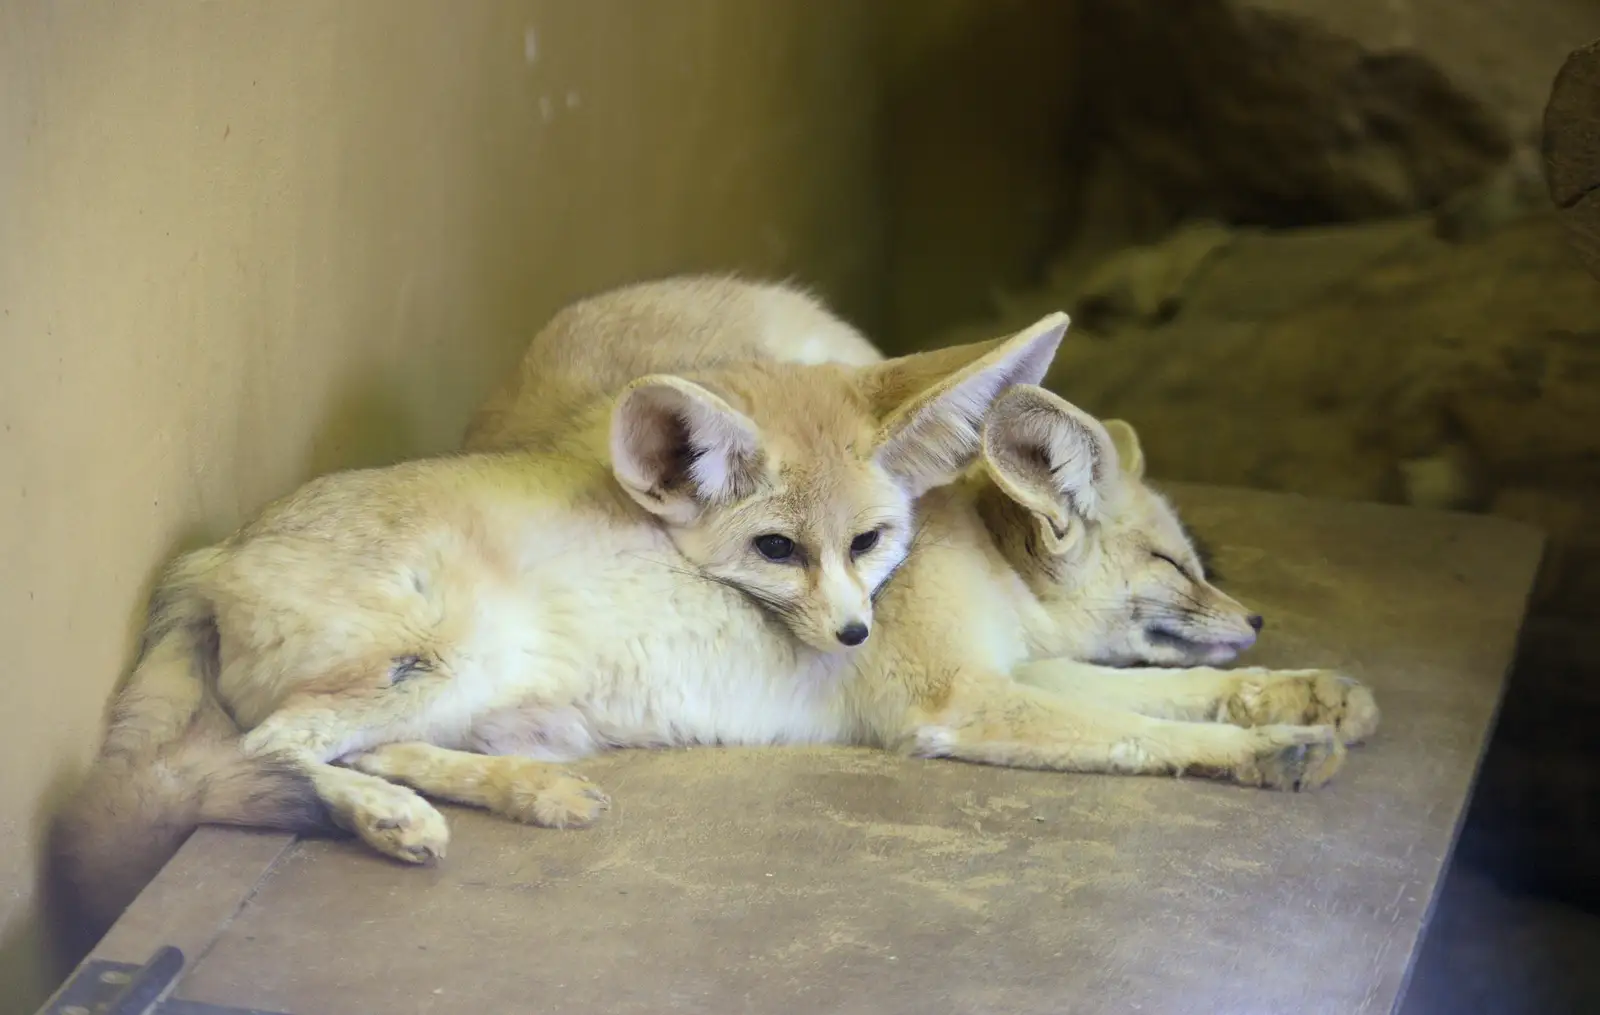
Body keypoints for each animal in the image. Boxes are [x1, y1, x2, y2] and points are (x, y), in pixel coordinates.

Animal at [56, 297, 1068, 941]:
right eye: (778, 548)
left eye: (869, 540)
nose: (856, 633)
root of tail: (212, 555)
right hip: (438, 660)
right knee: (270, 746)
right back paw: (389, 816)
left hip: (487, 699)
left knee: (344, 748)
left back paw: (518, 793)